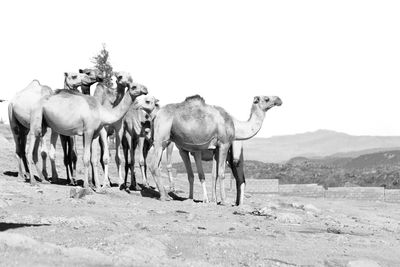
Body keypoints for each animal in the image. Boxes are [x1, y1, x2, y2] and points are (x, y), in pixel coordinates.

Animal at [148, 95, 282, 204]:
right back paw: (164, 197)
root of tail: (156, 115)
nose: (279, 100)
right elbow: (220, 174)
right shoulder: (223, 143)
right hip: (161, 138)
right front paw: (223, 201)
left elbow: (212, 175)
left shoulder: (214, 148)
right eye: (266, 99)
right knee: (154, 164)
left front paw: (212, 200)